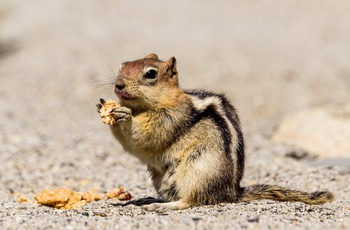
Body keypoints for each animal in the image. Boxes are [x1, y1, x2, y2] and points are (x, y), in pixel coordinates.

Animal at [95, 54, 334, 212]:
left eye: (151, 73)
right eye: (122, 66)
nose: (118, 85)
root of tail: (231, 192)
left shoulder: (171, 119)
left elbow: (146, 138)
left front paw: (124, 116)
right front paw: (103, 108)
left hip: (198, 169)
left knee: (193, 200)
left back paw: (165, 206)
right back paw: (151, 200)